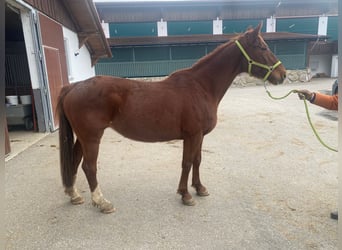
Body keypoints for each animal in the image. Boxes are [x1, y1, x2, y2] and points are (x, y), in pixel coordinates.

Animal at [58, 23, 286, 213]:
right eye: (263, 48)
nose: (282, 75)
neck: (201, 87)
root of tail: (74, 86)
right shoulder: (192, 135)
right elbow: (187, 162)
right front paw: (186, 195)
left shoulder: (199, 136)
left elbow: (197, 160)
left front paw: (199, 188)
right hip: (92, 137)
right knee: (89, 167)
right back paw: (101, 202)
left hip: (83, 137)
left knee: (75, 160)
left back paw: (74, 195)